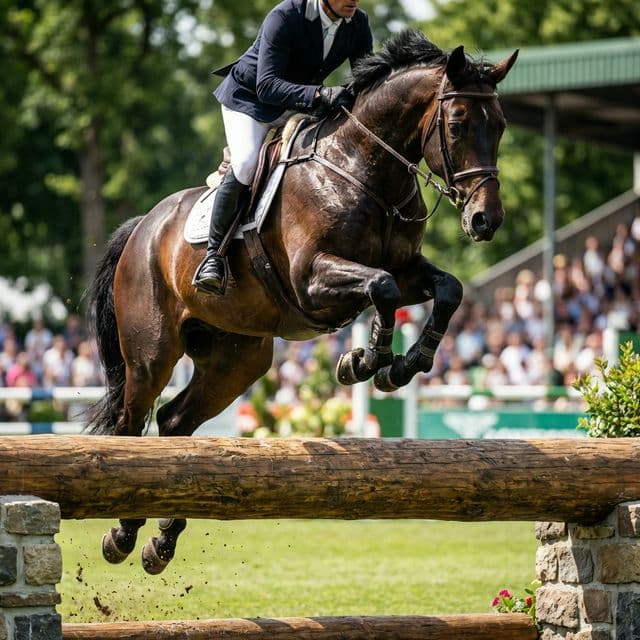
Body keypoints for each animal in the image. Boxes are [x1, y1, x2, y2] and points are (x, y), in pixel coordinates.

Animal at [88, 30, 518, 574]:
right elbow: (382, 288)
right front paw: (364, 362)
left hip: (236, 360)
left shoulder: (407, 268)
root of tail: (143, 226)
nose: (486, 220)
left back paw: (161, 541)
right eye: (458, 125)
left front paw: (406, 364)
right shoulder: (312, 278)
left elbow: (447, 290)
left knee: (175, 422)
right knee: (131, 422)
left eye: (500, 125)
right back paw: (121, 534)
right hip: (151, 354)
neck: (365, 170)